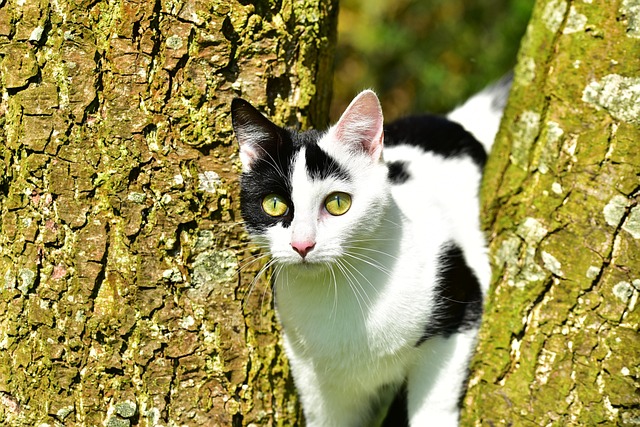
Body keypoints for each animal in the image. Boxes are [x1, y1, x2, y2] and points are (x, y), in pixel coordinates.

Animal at [230, 77, 510, 427]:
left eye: (338, 203)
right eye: (274, 204)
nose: (302, 244)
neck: (336, 295)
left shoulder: (459, 312)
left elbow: (433, 402)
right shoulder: (314, 378)